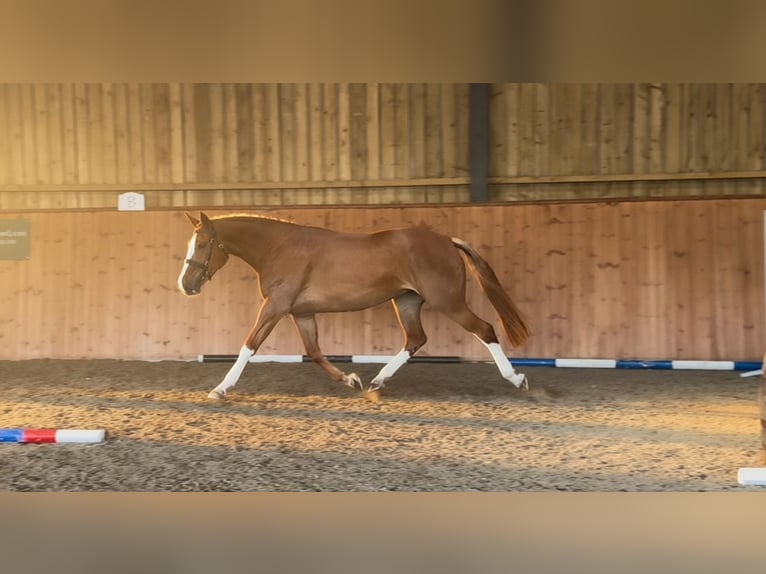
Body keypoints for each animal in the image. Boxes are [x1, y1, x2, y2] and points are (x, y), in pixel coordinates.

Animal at [177, 211, 530, 399]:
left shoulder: (275, 306)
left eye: (204, 243)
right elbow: (315, 352)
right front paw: (351, 380)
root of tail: (446, 241)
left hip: (448, 301)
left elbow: (249, 345)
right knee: (415, 339)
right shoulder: (301, 312)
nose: (186, 284)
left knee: (484, 329)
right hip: (406, 301)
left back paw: (516, 378)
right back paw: (377, 381)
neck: (279, 248)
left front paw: (221, 388)